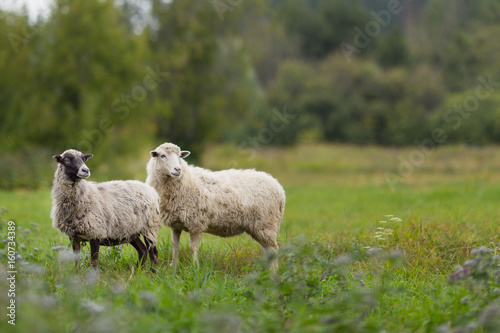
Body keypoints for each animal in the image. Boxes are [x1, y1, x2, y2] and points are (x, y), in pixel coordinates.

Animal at [145, 142, 286, 270]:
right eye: (162, 155)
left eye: (180, 156)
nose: (177, 170)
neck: (185, 180)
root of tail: (279, 187)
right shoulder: (176, 224)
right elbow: (175, 245)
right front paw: (173, 266)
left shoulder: (196, 222)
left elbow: (193, 247)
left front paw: (195, 267)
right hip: (261, 227)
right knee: (269, 250)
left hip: (266, 224)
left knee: (274, 249)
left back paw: (273, 271)